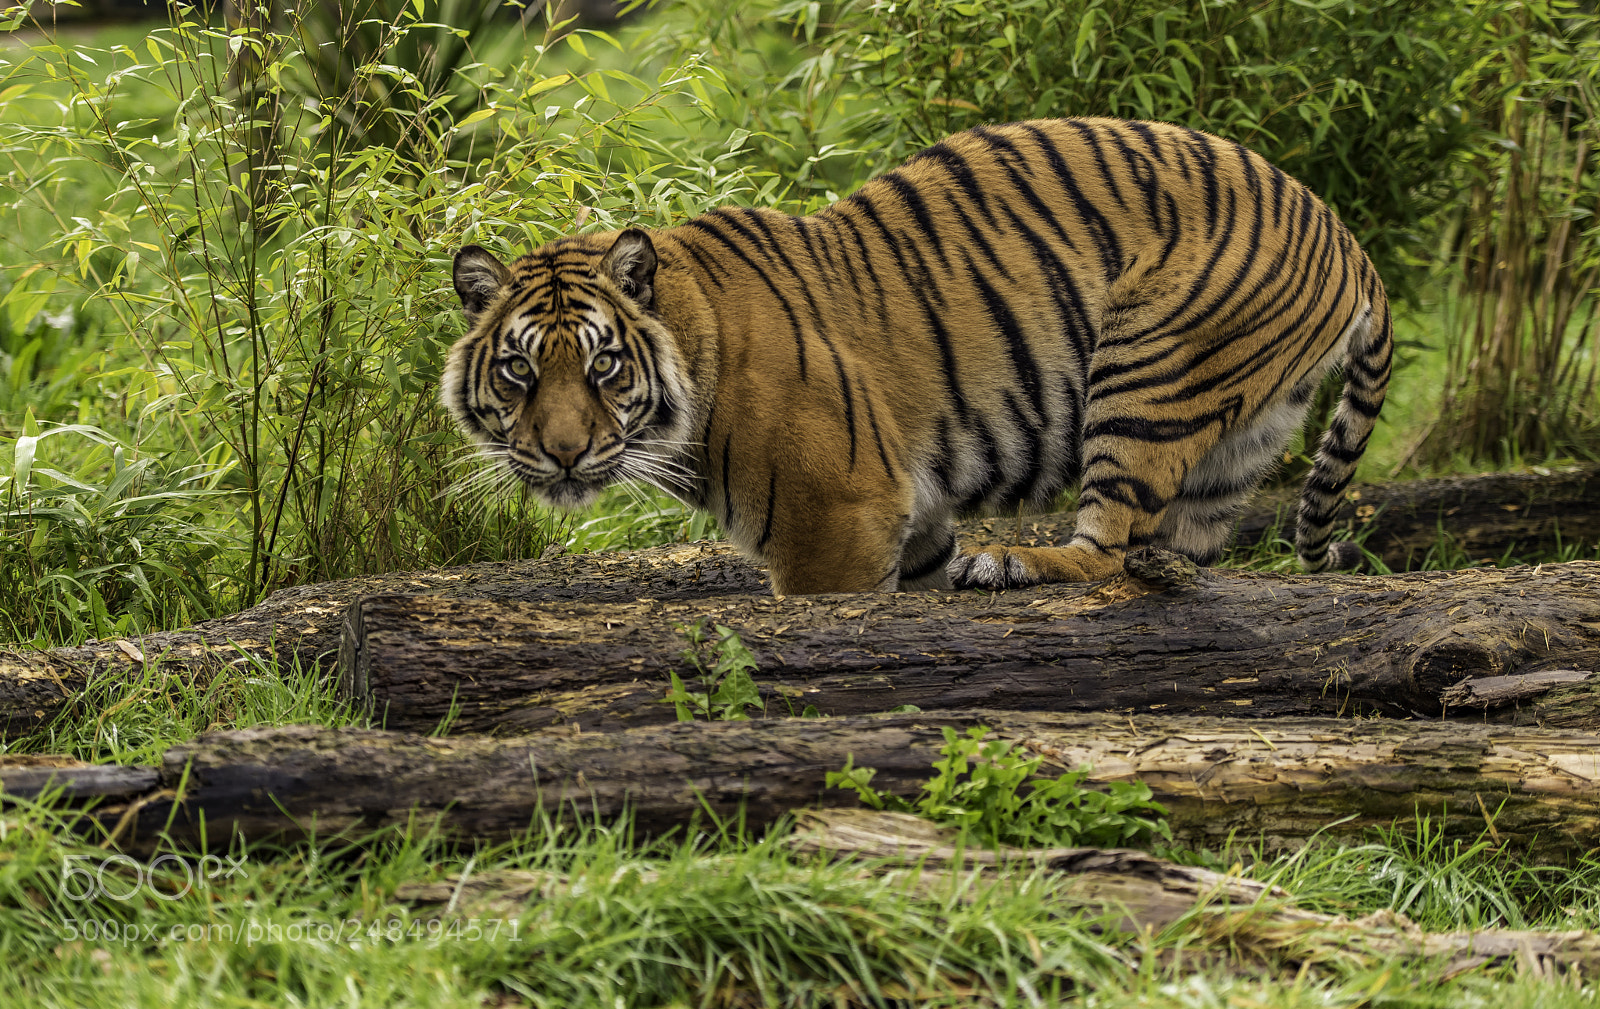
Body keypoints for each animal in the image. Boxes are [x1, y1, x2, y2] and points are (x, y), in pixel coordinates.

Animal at [442, 117, 1392, 595]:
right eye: (520, 370)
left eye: (602, 365)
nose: (564, 454)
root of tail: (1348, 236)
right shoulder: (911, 515)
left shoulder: (836, 520)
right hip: (1240, 435)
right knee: (1187, 552)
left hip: (1148, 372)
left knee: (1109, 548)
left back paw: (1015, 563)